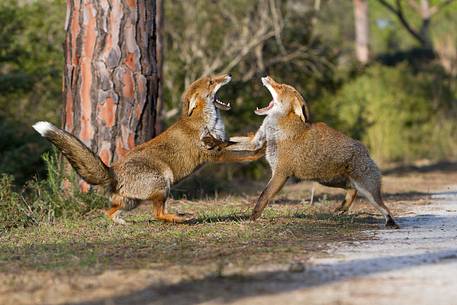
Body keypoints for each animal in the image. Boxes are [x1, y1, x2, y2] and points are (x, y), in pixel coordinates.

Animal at [32, 74, 262, 223]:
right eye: (212, 82)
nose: (229, 75)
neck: (206, 122)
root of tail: (113, 171)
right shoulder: (214, 153)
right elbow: (244, 156)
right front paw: (259, 154)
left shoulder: (222, 142)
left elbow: (243, 143)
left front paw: (257, 139)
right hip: (163, 183)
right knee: (157, 214)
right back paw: (180, 218)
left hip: (131, 202)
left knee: (109, 212)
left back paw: (121, 223)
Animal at [239, 76, 400, 228]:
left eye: (280, 87)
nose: (266, 77)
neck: (275, 131)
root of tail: (364, 149)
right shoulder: (257, 145)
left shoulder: (281, 173)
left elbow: (263, 197)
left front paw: (252, 218)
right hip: (331, 181)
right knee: (352, 190)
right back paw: (342, 208)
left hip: (366, 190)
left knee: (384, 208)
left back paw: (391, 223)